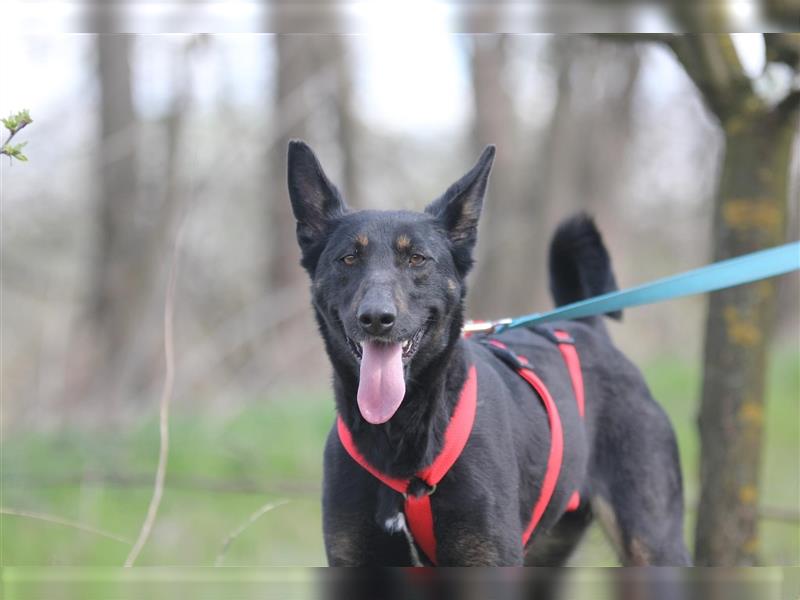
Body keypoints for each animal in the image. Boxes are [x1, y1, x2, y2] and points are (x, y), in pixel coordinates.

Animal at [290, 142, 692, 568]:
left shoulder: (486, 559)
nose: (376, 318)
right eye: (348, 258)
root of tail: (587, 327)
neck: (401, 435)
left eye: (417, 258)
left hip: (654, 542)